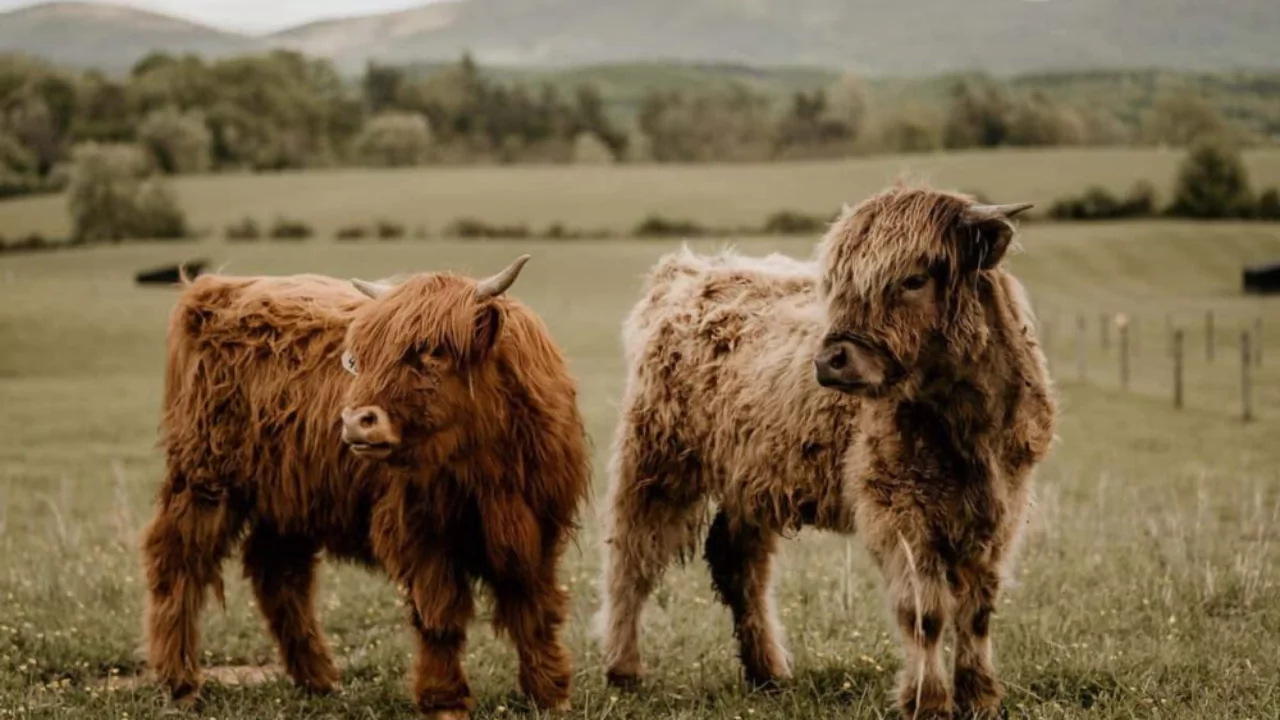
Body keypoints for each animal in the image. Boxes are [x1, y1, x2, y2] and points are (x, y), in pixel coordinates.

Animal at [141, 255, 590, 719]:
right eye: (361, 360)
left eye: (434, 352)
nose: (356, 421)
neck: (486, 471)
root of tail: (214, 289)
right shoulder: (420, 531)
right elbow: (440, 616)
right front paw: (445, 701)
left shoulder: (537, 530)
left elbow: (535, 610)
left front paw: (550, 693)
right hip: (205, 479)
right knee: (177, 561)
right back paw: (181, 683)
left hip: (288, 496)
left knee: (278, 572)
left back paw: (318, 679)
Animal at [595, 185, 1057, 719]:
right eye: (838, 284)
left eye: (913, 279)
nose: (831, 360)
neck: (963, 424)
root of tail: (688, 270)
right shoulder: (896, 507)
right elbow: (924, 610)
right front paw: (928, 700)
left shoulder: (1001, 506)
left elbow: (978, 607)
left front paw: (980, 695)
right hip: (656, 463)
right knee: (632, 561)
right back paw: (624, 668)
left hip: (748, 479)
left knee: (739, 564)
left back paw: (768, 672)